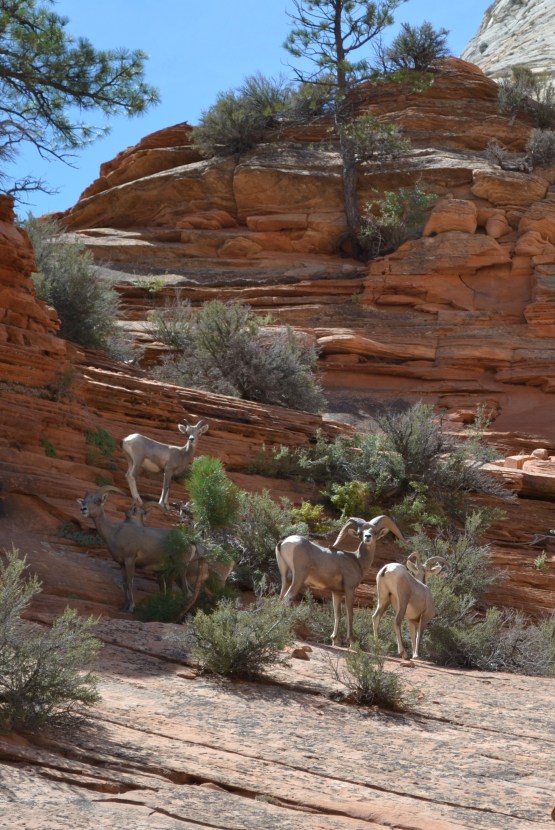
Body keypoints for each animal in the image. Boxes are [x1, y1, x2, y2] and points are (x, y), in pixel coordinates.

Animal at [77, 485, 200, 613]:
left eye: (97, 501)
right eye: (84, 501)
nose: (83, 509)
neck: (113, 533)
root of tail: (190, 541)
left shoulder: (130, 559)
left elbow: (130, 582)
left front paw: (131, 607)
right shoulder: (122, 564)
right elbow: (125, 583)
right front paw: (124, 607)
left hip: (181, 567)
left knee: (188, 592)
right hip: (173, 571)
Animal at [276, 515, 404, 647]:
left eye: (374, 532)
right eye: (360, 532)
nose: (367, 537)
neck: (357, 560)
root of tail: (283, 543)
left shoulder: (336, 593)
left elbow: (337, 614)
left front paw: (335, 640)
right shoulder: (349, 590)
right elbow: (349, 613)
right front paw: (351, 641)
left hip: (285, 578)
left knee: (280, 598)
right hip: (299, 577)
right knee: (287, 598)